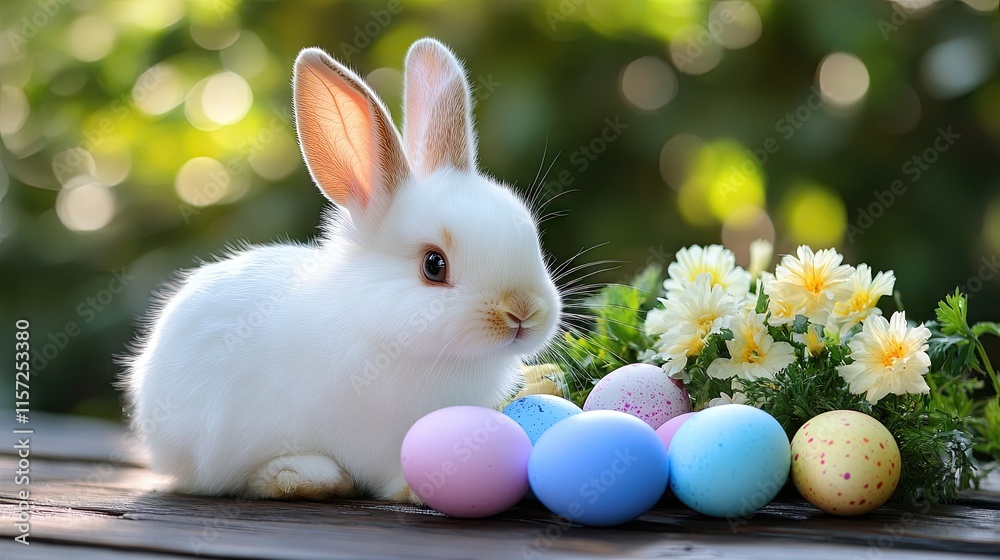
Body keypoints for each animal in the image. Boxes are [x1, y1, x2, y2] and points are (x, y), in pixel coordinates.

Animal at [120, 38, 561, 504]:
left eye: (531, 235)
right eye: (433, 265)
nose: (523, 311)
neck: (381, 330)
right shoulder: (382, 442)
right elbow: (396, 475)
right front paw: (417, 489)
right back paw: (304, 477)